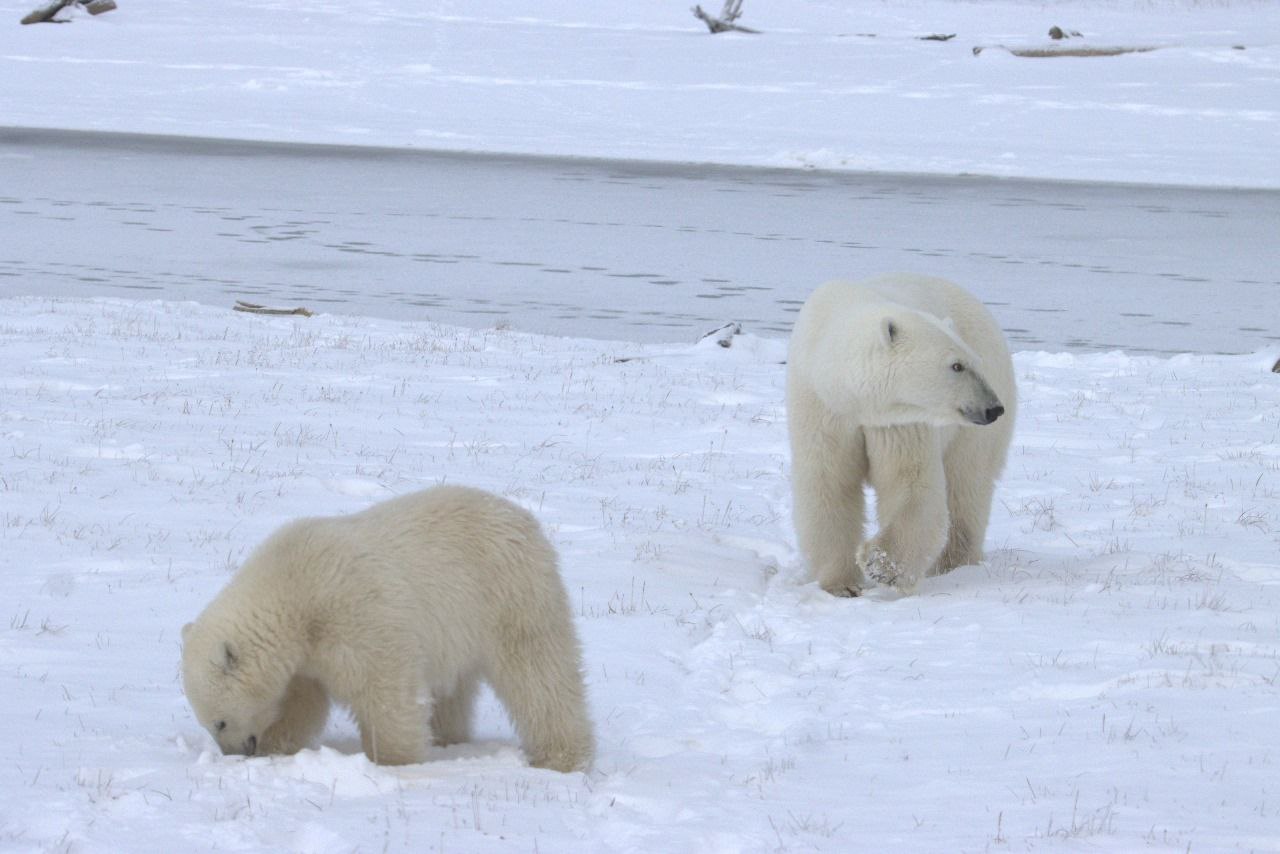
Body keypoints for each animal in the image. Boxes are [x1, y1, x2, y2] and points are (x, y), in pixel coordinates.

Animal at [180, 486, 593, 773]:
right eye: (209, 723)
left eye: (219, 720)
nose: (236, 752)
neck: (294, 586)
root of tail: (526, 521)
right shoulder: (305, 656)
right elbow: (302, 702)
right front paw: (278, 743)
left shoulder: (354, 611)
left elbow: (383, 687)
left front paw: (394, 760)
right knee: (453, 689)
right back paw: (447, 737)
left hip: (509, 595)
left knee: (539, 674)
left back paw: (560, 757)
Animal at [783, 273, 1013, 594]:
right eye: (957, 365)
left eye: (972, 363)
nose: (993, 408)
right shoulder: (823, 409)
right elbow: (828, 482)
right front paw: (841, 585)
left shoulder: (900, 420)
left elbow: (911, 481)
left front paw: (880, 565)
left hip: (976, 424)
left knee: (967, 482)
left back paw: (955, 563)